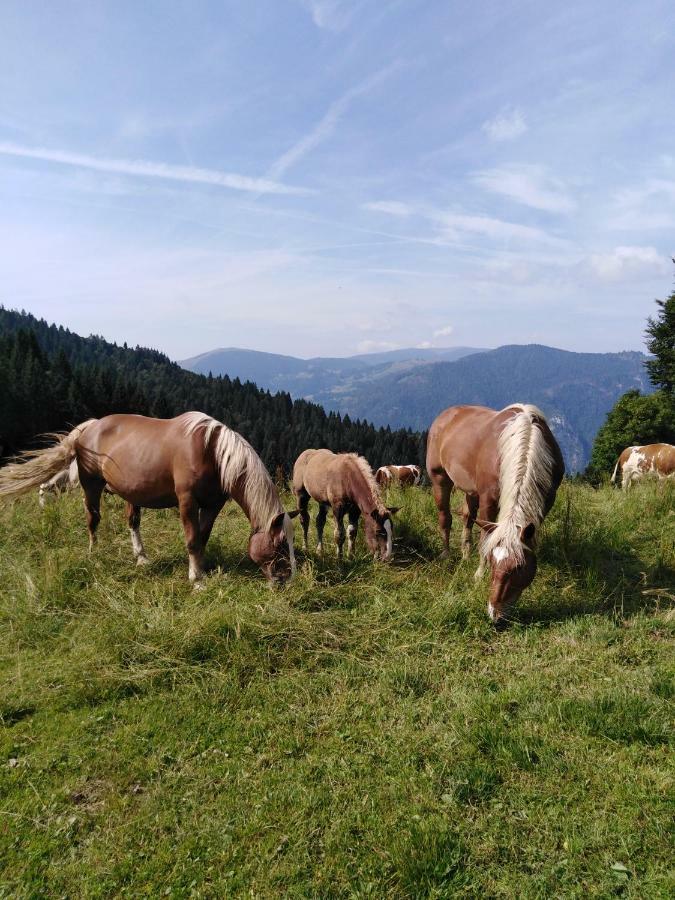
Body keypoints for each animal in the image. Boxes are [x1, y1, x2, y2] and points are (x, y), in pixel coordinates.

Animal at [0, 414, 298, 588]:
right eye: (280, 545)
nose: (286, 580)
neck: (212, 451)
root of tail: (90, 426)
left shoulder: (213, 505)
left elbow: (202, 537)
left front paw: (202, 568)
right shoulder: (187, 502)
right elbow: (192, 540)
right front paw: (197, 580)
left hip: (130, 493)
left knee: (132, 521)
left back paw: (141, 557)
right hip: (91, 486)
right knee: (92, 518)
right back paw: (94, 553)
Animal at [428, 402, 564, 624]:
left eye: (519, 567)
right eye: (493, 562)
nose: (496, 614)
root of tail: (447, 413)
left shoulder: (546, 502)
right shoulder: (488, 499)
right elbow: (486, 537)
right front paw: (479, 574)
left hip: (471, 490)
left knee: (468, 517)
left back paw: (465, 554)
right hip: (439, 478)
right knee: (445, 517)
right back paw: (447, 554)